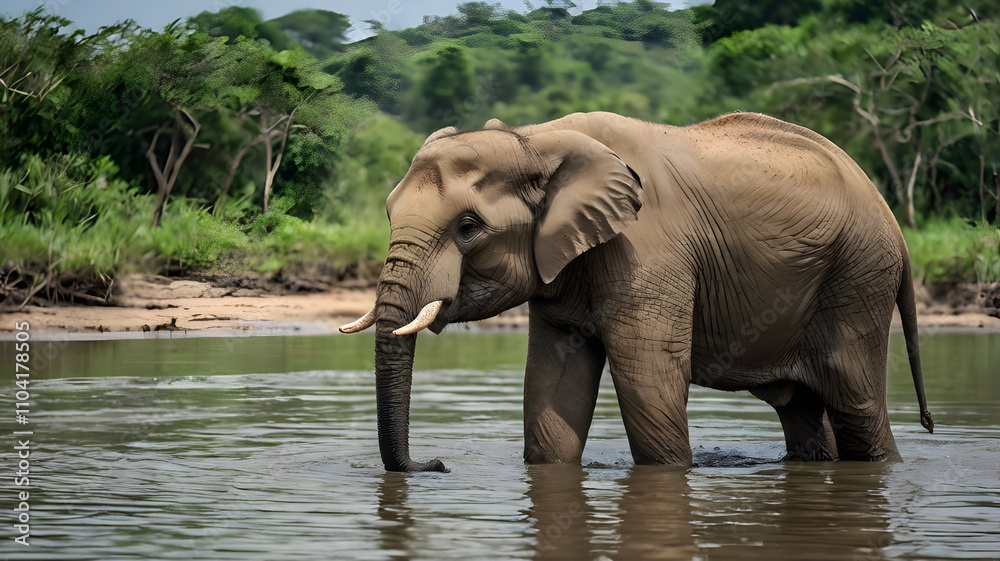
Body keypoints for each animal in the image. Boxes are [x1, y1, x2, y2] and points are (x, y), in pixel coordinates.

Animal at [340, 111, 934, 472]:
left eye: (468, 227)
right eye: (388, 213)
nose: (436, 464)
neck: (536, 140)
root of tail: (891, 217)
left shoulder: (648, 250)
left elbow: (649, 378)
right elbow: (554, 386)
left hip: (858, 276)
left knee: (855, 401)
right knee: (804, 410)